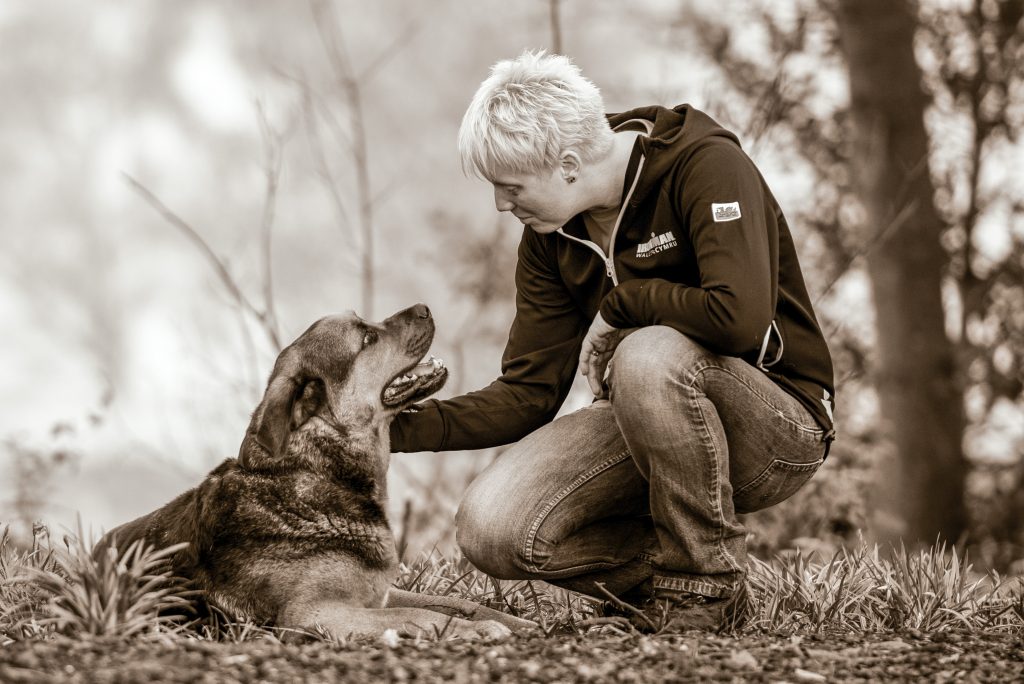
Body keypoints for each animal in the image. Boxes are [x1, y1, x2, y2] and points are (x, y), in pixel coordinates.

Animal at [99, 305, 536, 643]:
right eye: (366, 339)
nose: (425, 308)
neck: (320, 468)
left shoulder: (379, 592)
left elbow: (457, 602)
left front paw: (516, 622)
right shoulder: (317, 614)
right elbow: (422, 616)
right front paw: (474, 631)